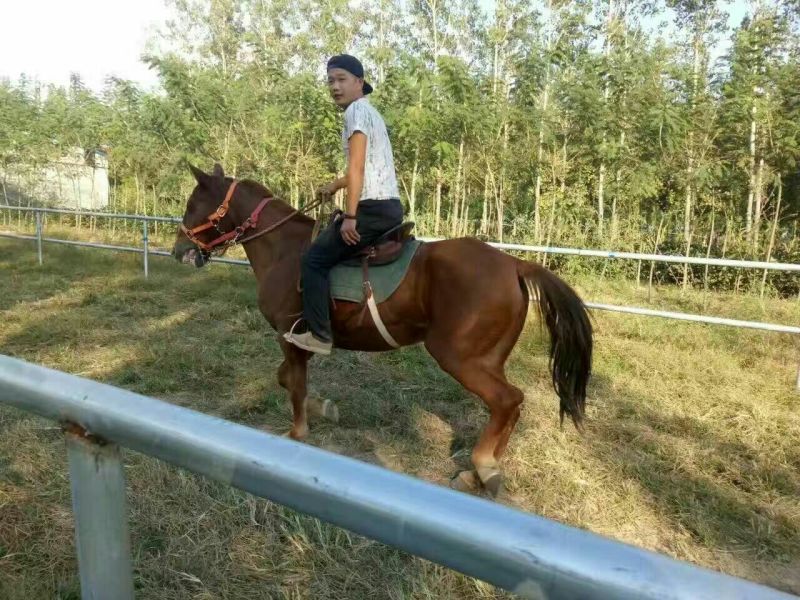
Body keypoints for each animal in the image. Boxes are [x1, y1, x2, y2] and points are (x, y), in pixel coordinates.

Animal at [172, 163, 593, 497]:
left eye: (193, 205)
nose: (180, 252)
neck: (284, 251)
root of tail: (515, 264)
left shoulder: (289, 336)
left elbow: (293, 386)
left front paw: (298, 431)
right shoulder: (297, 342)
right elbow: (287, 380)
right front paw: (323, 407)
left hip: (460, 357)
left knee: (507, 400)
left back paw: (484, 466)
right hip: (488, 360)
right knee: (511, 404)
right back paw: (477, 473)